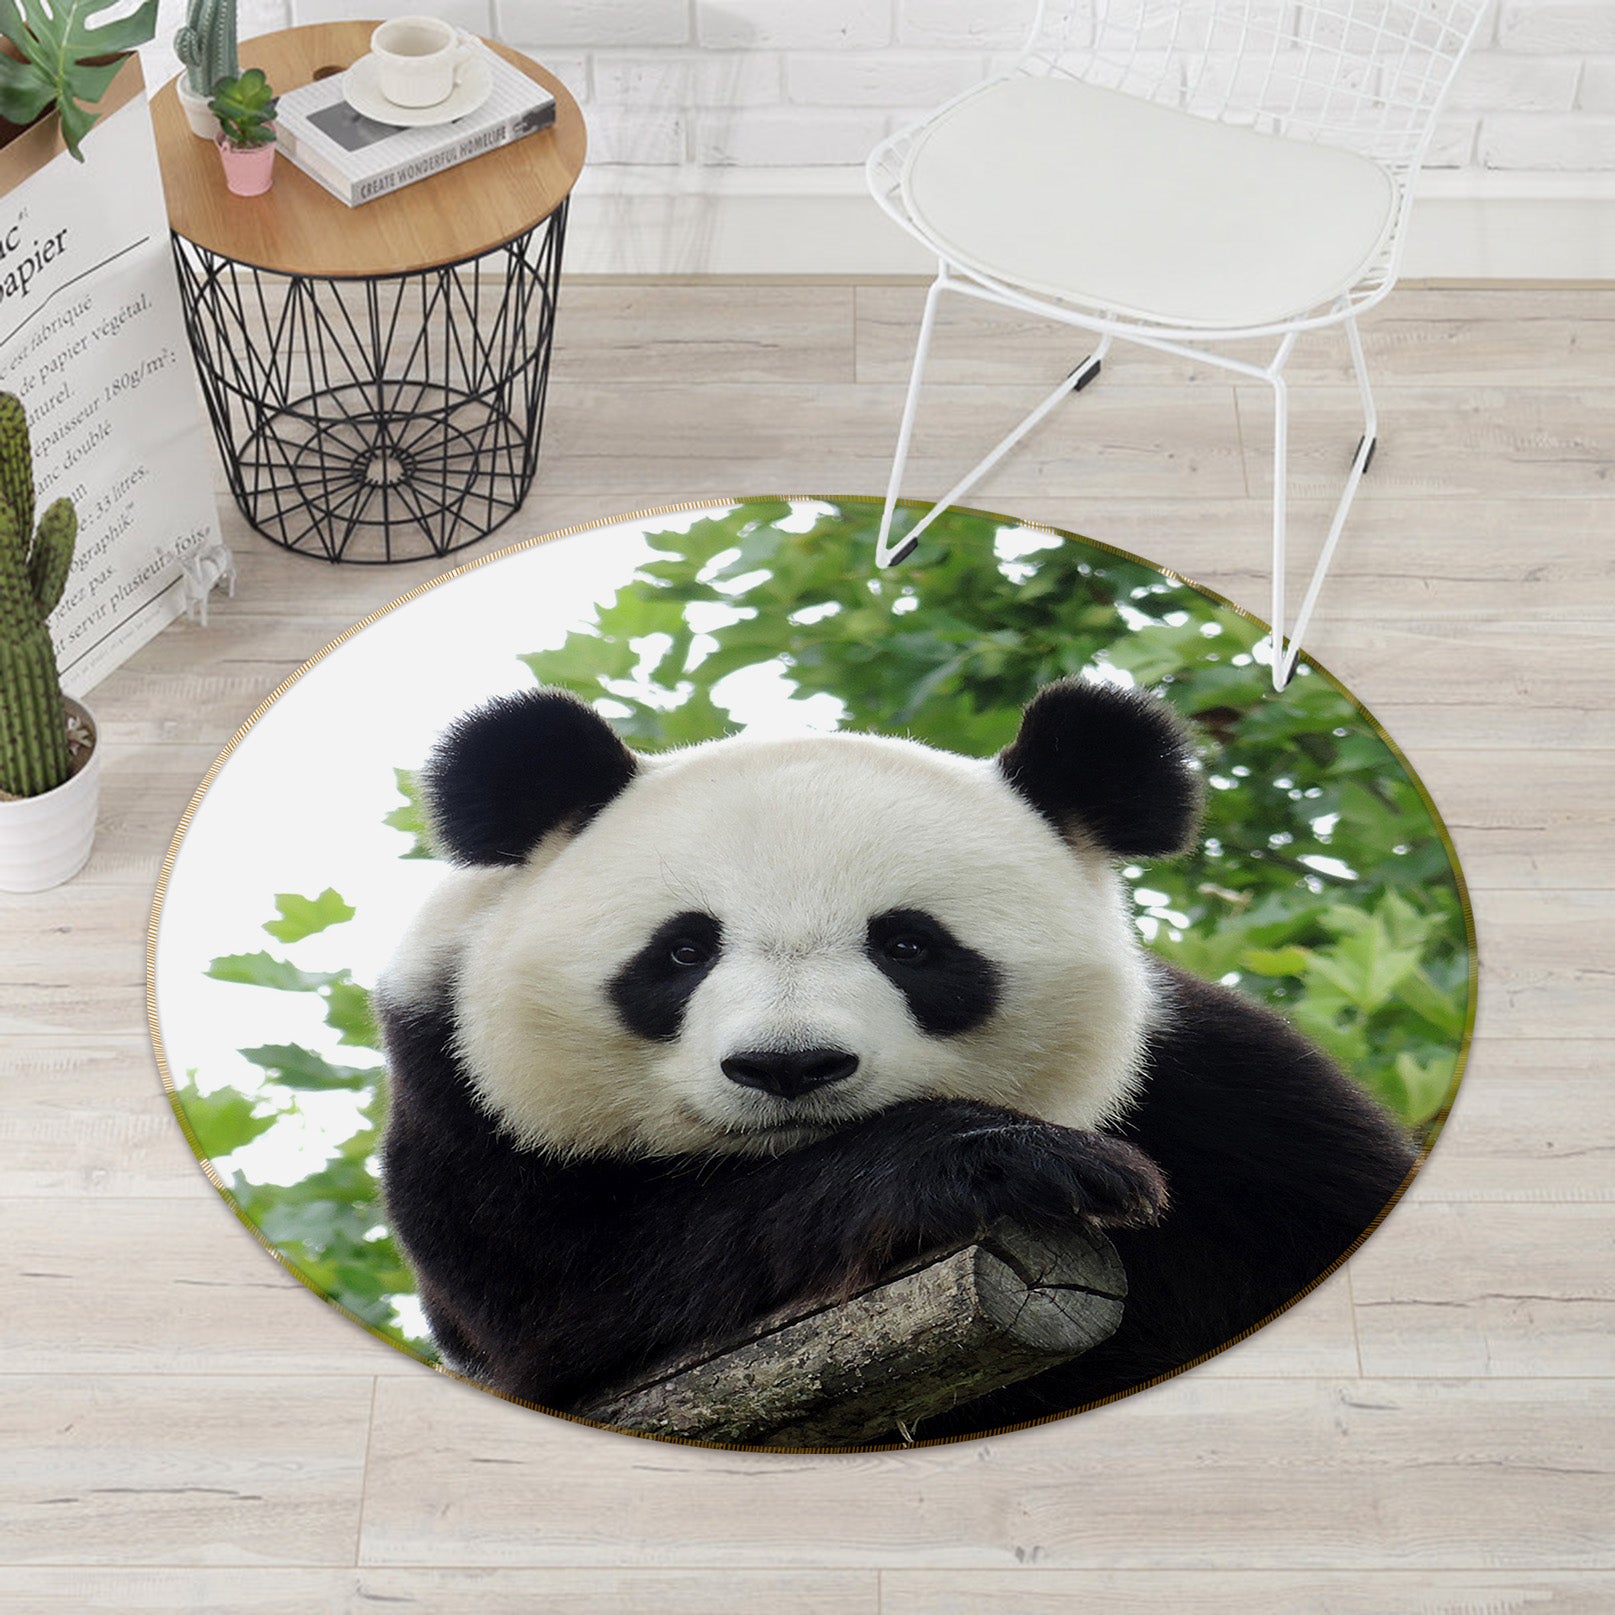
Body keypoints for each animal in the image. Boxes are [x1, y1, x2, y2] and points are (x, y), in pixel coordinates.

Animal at [374, 678, 1416, 1440]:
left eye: (910, 944)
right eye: (681, 951)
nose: (788, 1066)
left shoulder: (1225, 1099)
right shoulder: (463, 1102)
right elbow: (589, 1285)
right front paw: (1004, 1160)